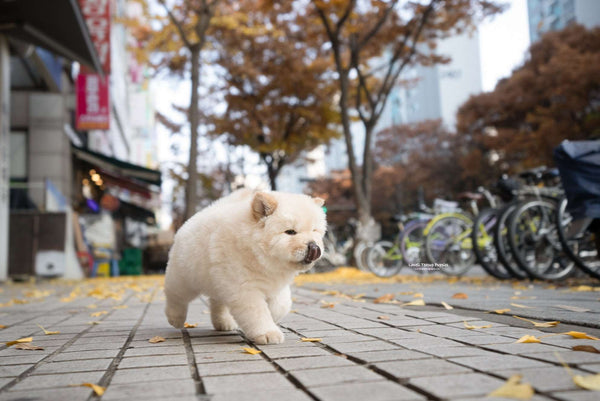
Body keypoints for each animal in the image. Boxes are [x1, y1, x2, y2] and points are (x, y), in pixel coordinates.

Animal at [164, 188, 326, 344]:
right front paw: (268, 333)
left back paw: (223, 323)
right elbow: (257, 312)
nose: (314, 247)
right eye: (290, 232)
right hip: (185, 278)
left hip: (216, 282)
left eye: (314, 230)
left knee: (218, 303)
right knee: (175, 296)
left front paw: (273, 315)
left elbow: (281, 305)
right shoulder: (244, 287)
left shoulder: (276, 284)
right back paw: (175, 318)